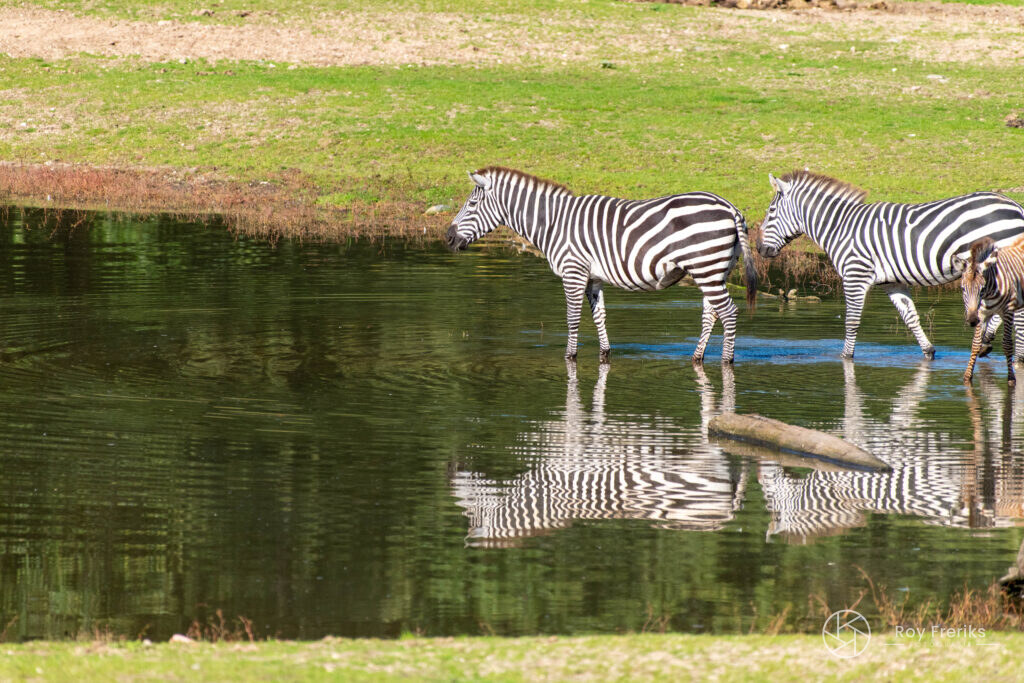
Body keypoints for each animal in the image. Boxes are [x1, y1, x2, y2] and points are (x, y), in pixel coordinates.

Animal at [445, 167, 758, 364]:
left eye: (471, 205)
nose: (448, 237)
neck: (553, 223)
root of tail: (731, 207)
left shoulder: (572, 272)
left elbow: (572, 318)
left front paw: (569, 357)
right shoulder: (592, 277)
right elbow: (600, 316)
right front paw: (605, 354)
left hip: (706, 268)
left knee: (728, 312)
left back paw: (726, 361)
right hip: (714, 270)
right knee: (711, 314)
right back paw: (696, 358)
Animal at [756, 170, 1024, 359]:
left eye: (771, 211)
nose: (759, 249)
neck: (840, 227)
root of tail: (1015, 205)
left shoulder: (855, 275)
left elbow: (851, 321)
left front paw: (845, 357)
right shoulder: (892, 282)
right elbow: (910, 317)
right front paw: (929, 352)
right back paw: (987, 341)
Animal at [958, 235, 1024, 386]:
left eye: (982, 288)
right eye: (963, 289)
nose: (972, 321)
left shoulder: (1008, 311)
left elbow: (1007, 344)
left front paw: (1011, 378)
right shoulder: (981, 314)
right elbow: (975, 344)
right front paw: (967, 376)